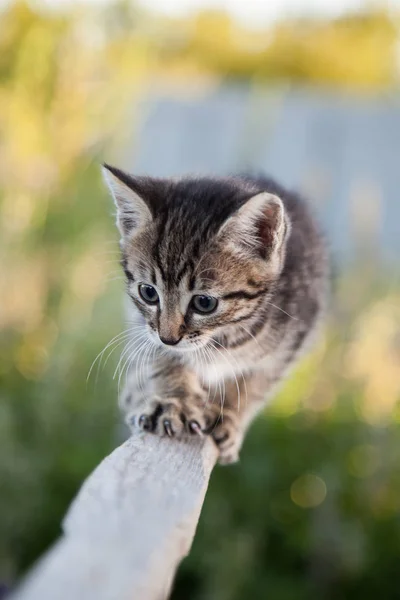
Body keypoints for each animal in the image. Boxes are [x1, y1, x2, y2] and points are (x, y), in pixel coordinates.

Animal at [102, 163, 328, 464]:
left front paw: (228, 414)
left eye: (204, 303)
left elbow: (254, 383)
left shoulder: (293, 338)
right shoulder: (146, 327)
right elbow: (161, 359)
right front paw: (176, 400)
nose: (168, 338)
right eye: (148, 292)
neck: (225, 335)